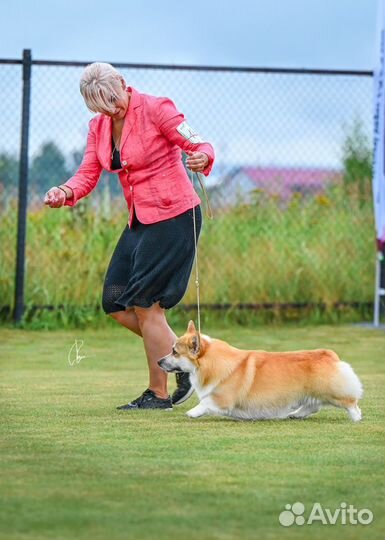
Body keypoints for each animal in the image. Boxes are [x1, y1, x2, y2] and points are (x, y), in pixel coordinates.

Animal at [158, 320, 362, 422]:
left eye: (174, 352)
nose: (158, 361)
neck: (211, 362)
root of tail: (329, 354)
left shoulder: (223, 398)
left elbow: (206, 402)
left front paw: (192, 412)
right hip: (309, 393)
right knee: (313, 406)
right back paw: (295, 414)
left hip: (332, 392)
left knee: (350, 402)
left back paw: (356, 417)